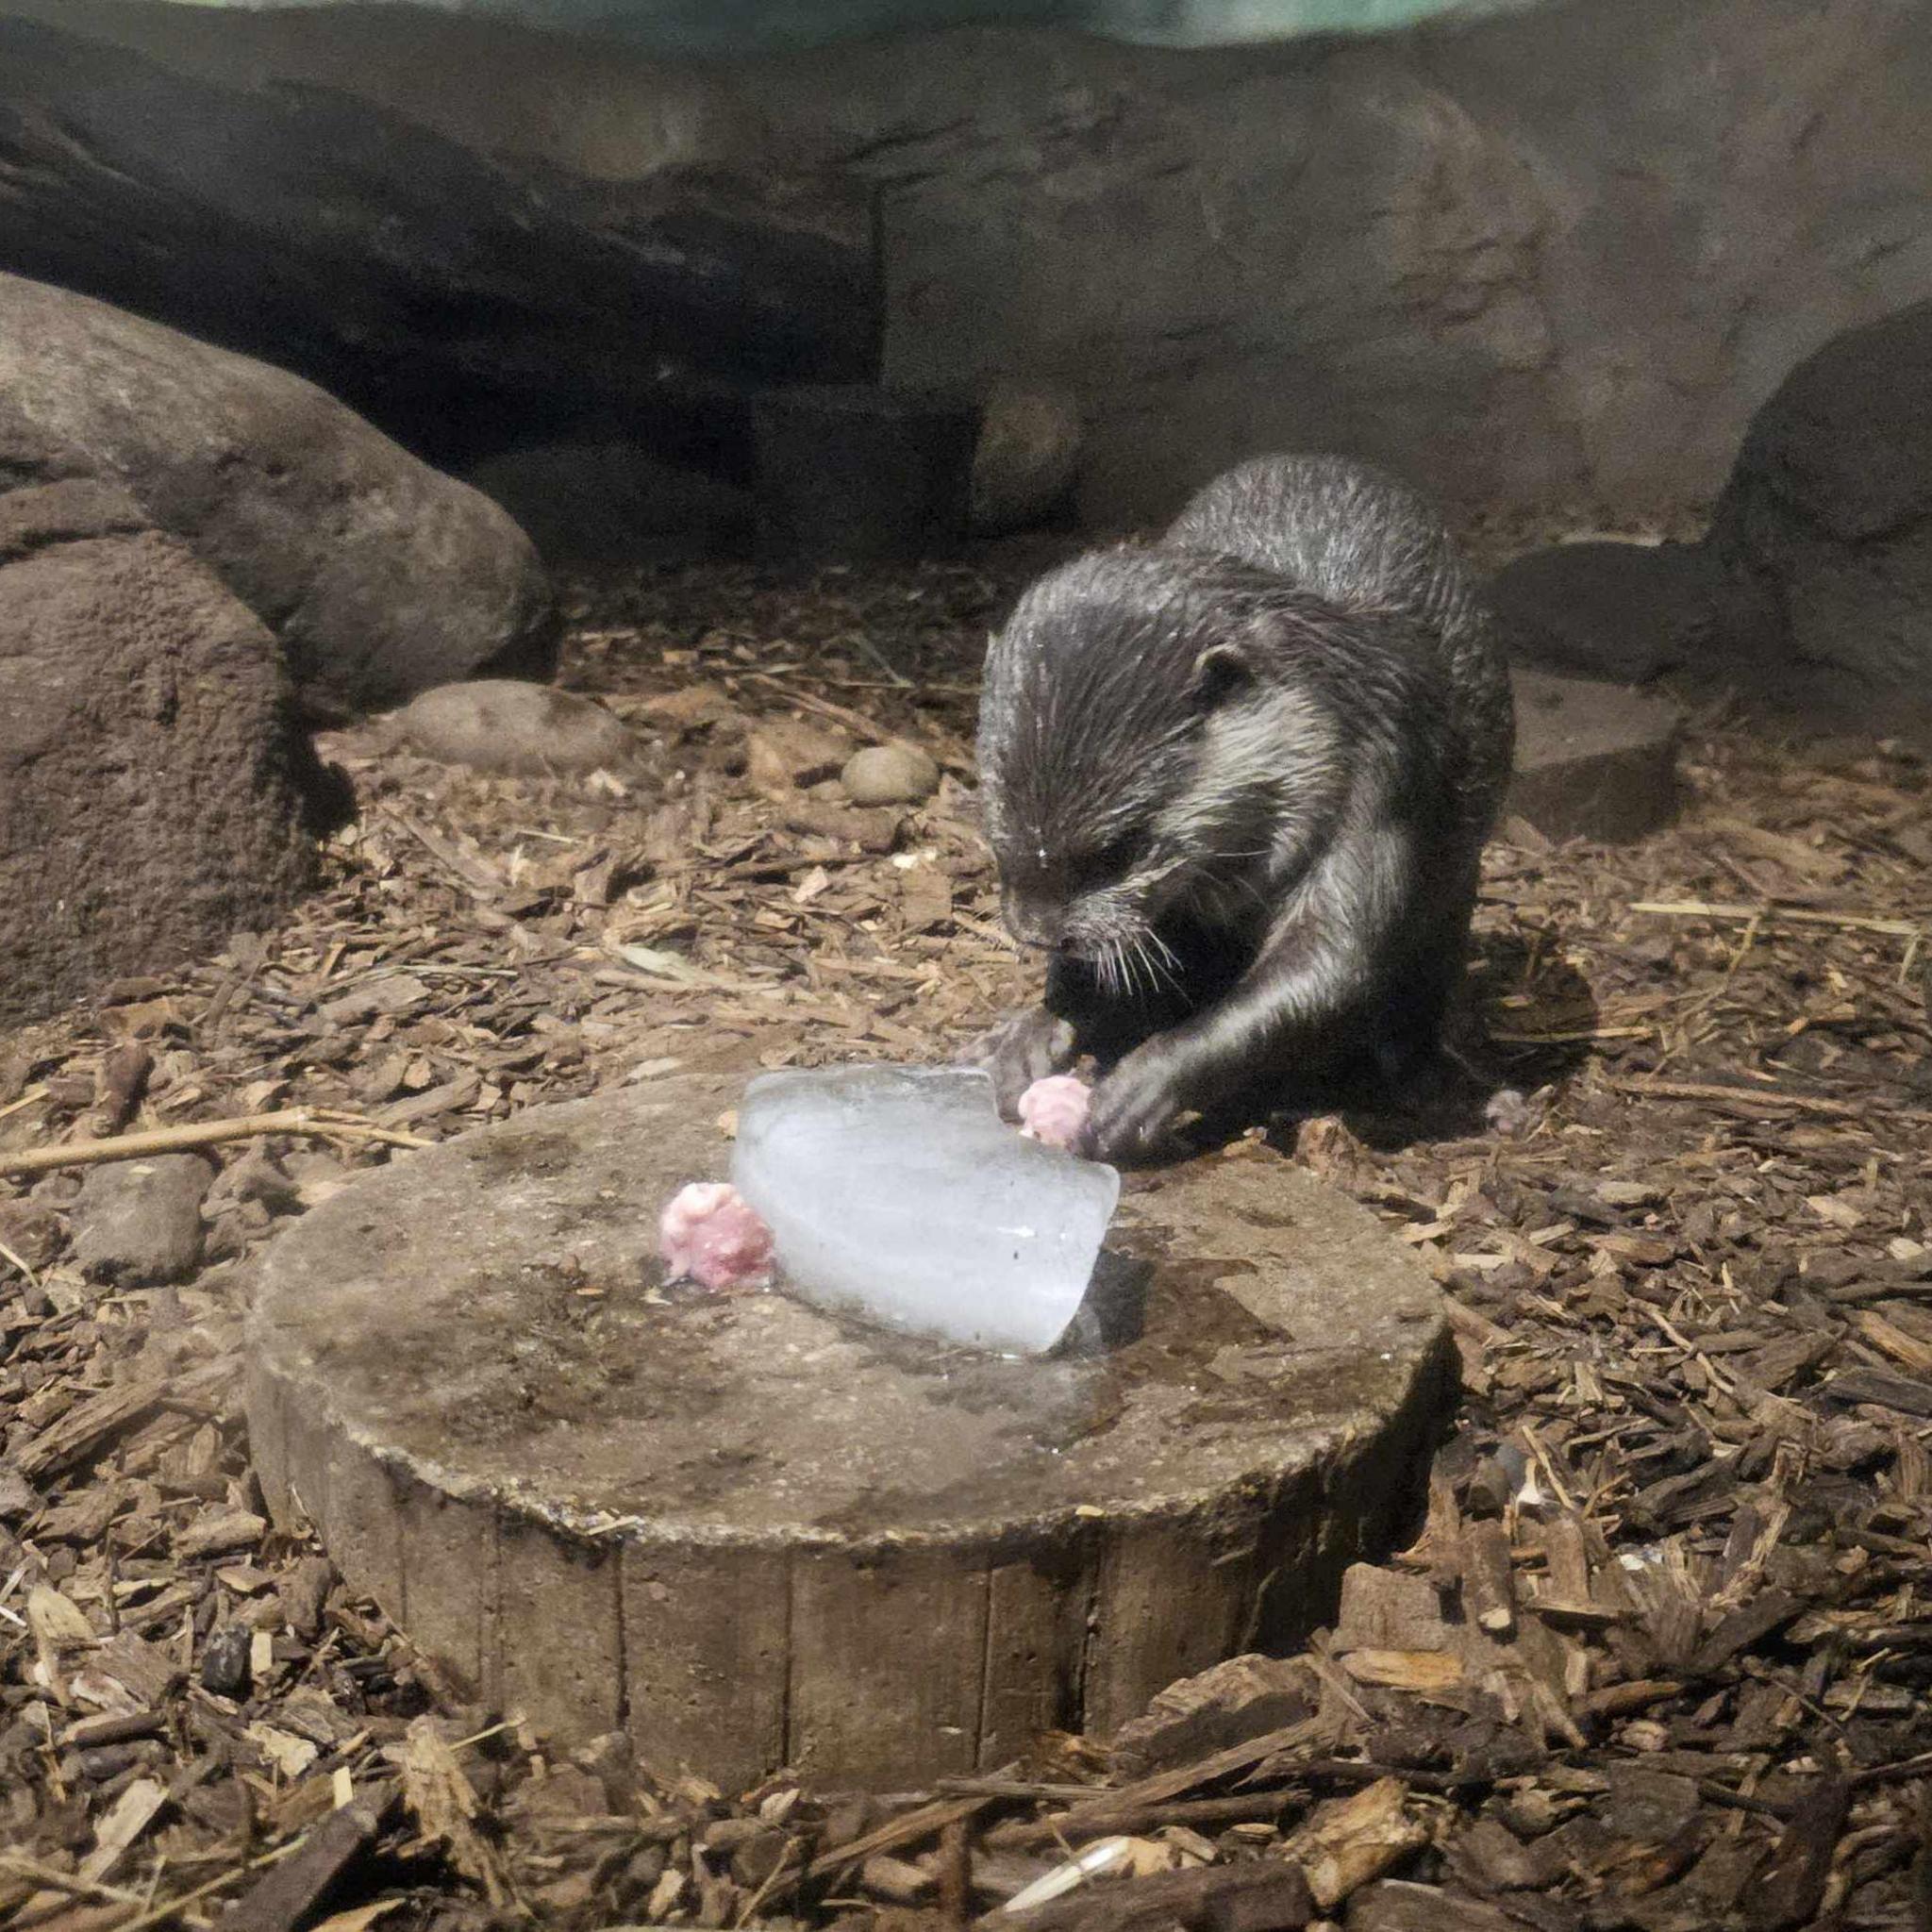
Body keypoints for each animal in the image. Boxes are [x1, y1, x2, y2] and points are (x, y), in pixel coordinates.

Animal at [974, 456, 1514, 1158]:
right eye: (997, 833)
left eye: (1120, 849)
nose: (1038, 933)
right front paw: (1035, 1030)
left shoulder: (1385, 769)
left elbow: (1333, 961)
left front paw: (1147, 1079)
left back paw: (1435, 1082)